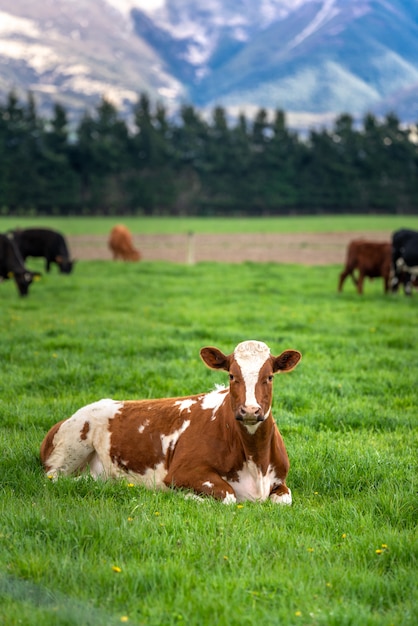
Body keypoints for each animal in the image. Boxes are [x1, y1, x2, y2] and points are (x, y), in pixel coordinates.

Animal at [40, 338, 300, 504]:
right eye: (232, 376)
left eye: (269, 377)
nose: (250, 410)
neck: (256, 461)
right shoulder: (182, 472)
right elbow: (227, 495)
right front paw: (184, 496)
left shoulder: (280, 481)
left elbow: (284, 499)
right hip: (71, 448)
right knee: (56, 479)